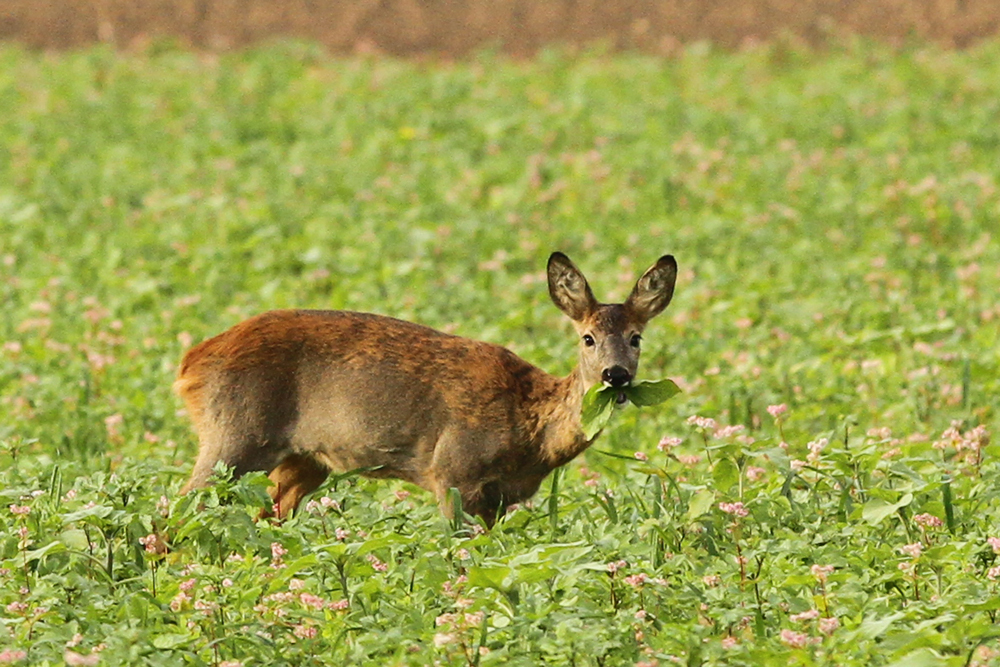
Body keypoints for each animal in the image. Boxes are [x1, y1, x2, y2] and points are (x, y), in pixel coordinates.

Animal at [176, 253, 676, 524]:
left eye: (636, 337)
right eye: (587, 337)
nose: (616, 375)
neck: (528, 428)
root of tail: (189, 364)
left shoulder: (500, 497)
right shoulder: (453, 469)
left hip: (301, 462)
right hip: (235, 435)